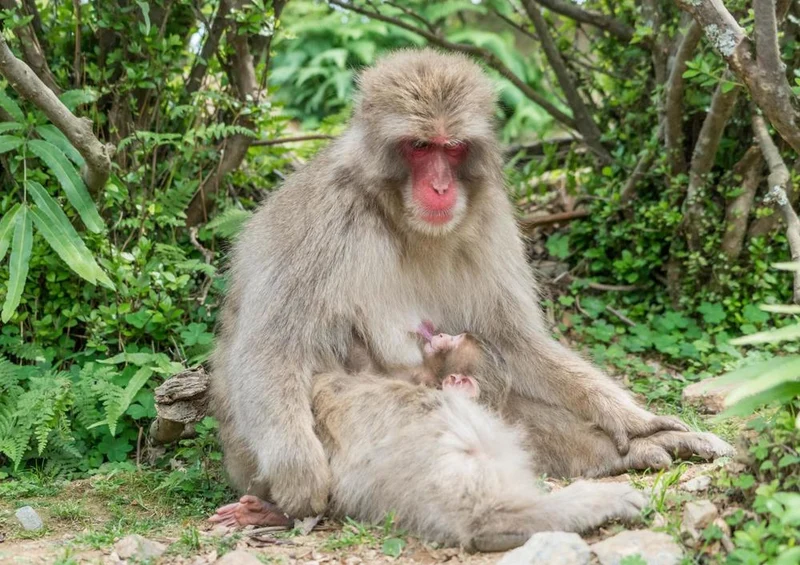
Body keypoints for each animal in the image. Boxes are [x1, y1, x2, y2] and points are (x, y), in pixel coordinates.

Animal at [209, 48, 733, 532]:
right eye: (421, 146)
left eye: (454, 147)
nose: (441, 187)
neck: (402, 222)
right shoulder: (320, 220)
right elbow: (272, 349)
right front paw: (300, 473)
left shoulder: (490, 217)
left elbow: (513, 340)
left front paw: (633, 421)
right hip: (269, 456)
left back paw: (634, 451)